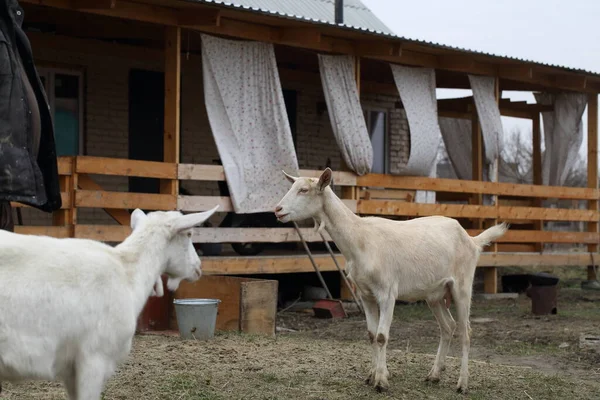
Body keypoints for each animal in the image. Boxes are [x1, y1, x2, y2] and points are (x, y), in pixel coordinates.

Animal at [276, 169, 506, 394]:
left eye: (304, 190)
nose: (277, 209)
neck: (360, 240)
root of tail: (472, 240)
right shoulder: (365, 294)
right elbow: (371, 334)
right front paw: (372, 375)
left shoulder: (387, 292)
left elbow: (381, 336)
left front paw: (381, 382)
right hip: (435, 293)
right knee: (448, 326)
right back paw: (434, 375)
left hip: (462, 284)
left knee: (465, 331)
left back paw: (462, 384)